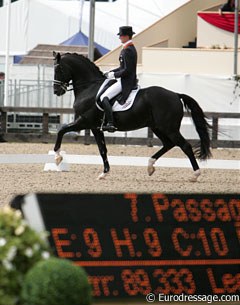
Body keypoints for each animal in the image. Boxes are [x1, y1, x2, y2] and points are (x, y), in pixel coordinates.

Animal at [53, 52, 211, 180]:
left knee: (185, 146)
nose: (56, 91)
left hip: (169, 128)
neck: (89, 88)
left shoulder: (85, 122)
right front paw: (104, 173)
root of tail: (176, 95)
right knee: (168, 144)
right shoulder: (95, 127)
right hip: (157, 127)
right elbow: (102, 149)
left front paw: (58, 157)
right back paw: (150, 166)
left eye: (58, 69)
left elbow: (62, 130)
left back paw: (195, 175)